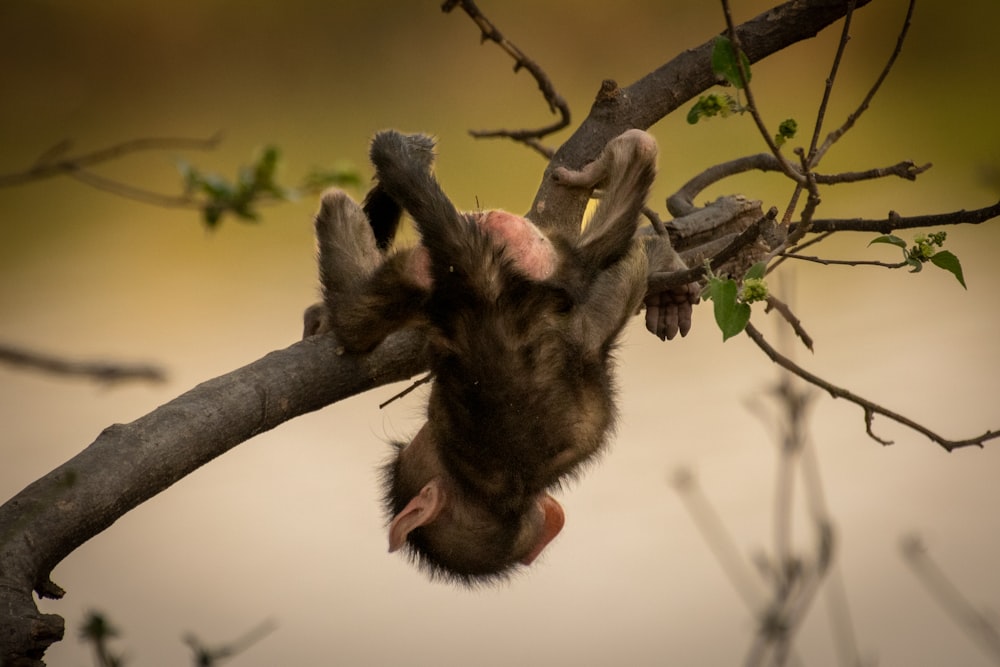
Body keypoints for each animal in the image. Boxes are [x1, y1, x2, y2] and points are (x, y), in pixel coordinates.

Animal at [300, 130, 700, 584]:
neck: (504, 495)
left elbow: (363, 318)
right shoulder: (581, 345)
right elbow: (614, 287)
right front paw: (661, 269)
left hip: (467, 268)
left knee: (362, 311)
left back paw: (387, 167)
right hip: (542, 258)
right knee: (609, 224)